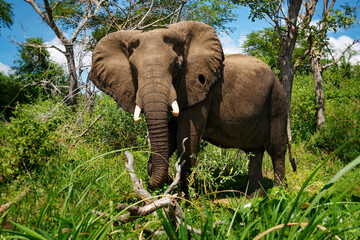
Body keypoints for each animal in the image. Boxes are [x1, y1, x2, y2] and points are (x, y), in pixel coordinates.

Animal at [89, 20, 296, 196]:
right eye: (132, 68)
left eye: (177, 65)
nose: (149, 185)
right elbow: (171, 137)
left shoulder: (199, 90)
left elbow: (187, 142)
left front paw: (183, 199)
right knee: (255, 152)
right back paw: (254, 198)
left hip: (277, 101)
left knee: (277, 151)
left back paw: (280, 195)